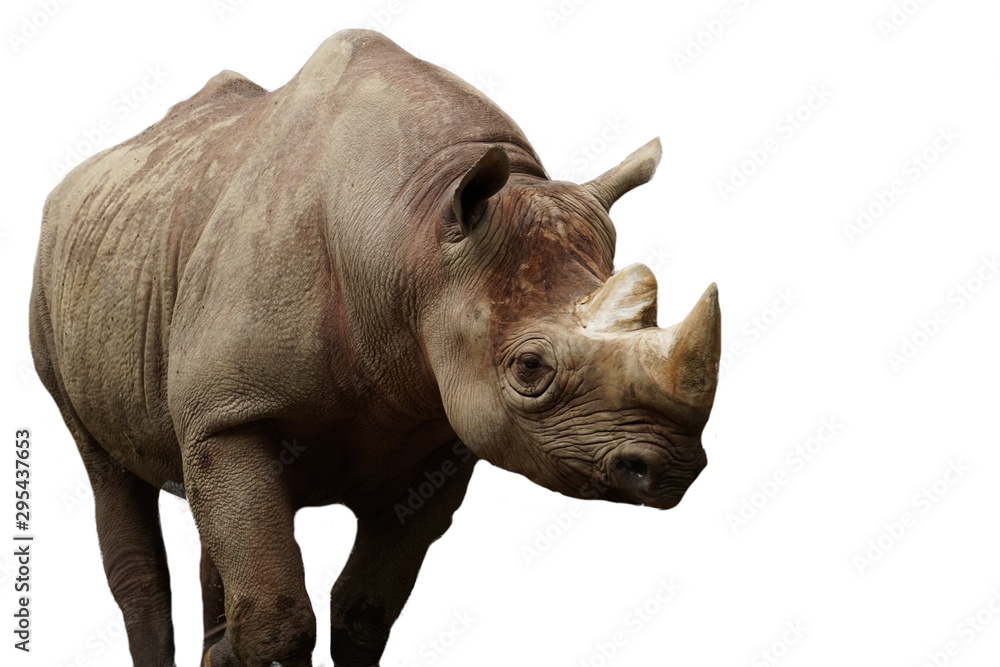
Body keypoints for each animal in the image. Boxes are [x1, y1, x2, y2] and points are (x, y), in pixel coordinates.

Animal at [29, 29, 721, 667]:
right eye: (530, 368)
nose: (670, 468)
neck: (412, 238)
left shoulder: (441, 436)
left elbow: (364, 613)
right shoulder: (232, 409)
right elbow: (278, 619)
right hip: (50, 282)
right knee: (106, 468)